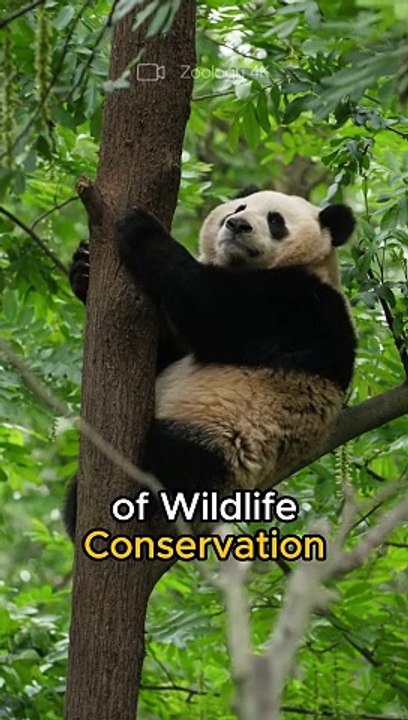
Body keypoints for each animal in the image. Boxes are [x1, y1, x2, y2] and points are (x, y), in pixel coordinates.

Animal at [65, 188, 356, 538]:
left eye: (276, 221)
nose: (237, 225)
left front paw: (143, 232)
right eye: (239, 207)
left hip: (227, 440)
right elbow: (167, 351)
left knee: (177, 461)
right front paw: (83, 268)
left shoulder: (301, 307)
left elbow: (212, 312)